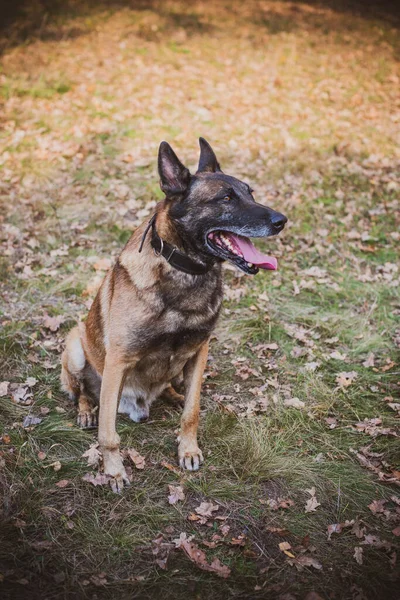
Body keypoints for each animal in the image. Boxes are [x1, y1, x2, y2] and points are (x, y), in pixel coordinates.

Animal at [60, 138, 288, 490]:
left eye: (250, 193)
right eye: (226, 198)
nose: (281, 220)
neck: (185, 271)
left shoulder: (200, 350)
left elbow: (192, 412)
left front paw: (188, 448)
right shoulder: (118, 360)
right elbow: (108, 433)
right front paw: (114, 470)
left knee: (174, 388)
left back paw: (176, 395)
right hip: (74, 346)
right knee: (83, 391)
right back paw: (86, 410)